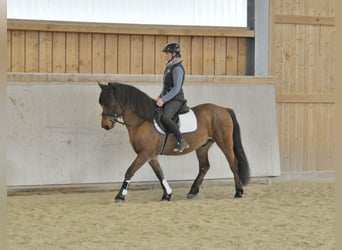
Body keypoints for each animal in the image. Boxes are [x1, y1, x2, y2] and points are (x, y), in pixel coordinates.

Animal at [97, 81, 250, 202]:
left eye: (111, 103)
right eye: (101, 103)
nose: (105, 125)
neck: (143, 121)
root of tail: (224, 109)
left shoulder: (145, 153)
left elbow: (130, 171)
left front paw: (120, 195)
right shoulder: (150, 155)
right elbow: (159, 173)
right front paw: (167, 194)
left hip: (224, 143)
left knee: (233, 164)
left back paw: (238, 191)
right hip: (203, 146)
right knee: (204, 166)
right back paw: (192, 192)